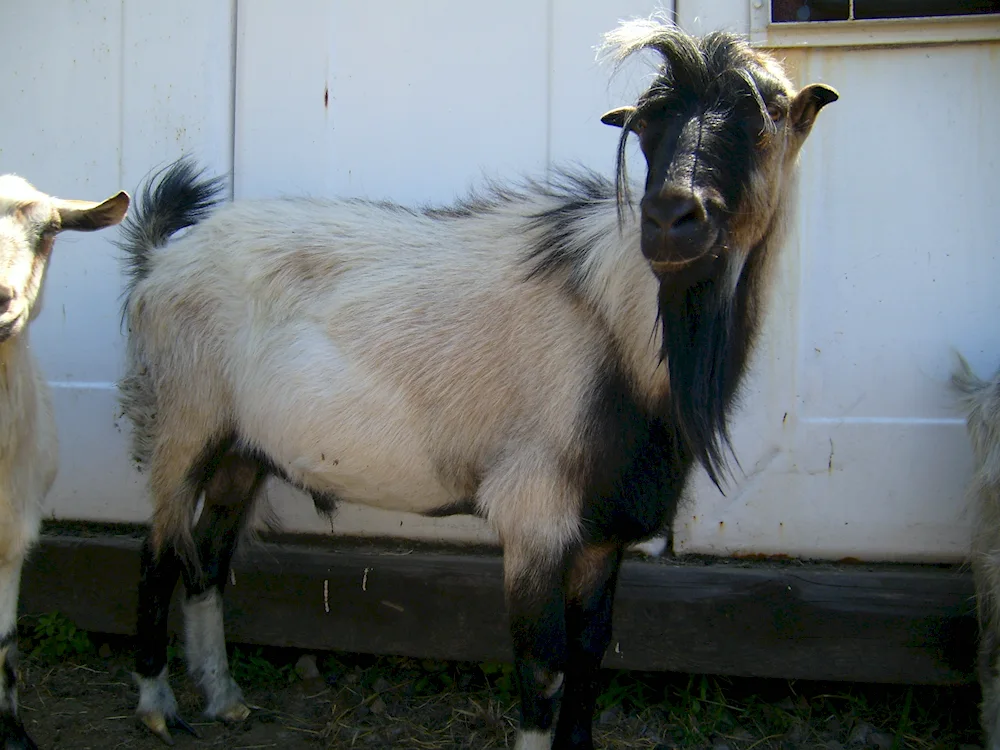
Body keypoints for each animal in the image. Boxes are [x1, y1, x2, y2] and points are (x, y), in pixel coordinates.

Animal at [115, 19, 836, 750]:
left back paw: (223, 697)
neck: (620, 324)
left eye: (769, 116)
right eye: (645, 125)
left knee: (206, 562)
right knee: (157, 554)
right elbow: (544, 669)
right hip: (184, 424)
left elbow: (591, 652)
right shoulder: (534, 513)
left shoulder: (602, 530)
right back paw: (157, 704)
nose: (669, 218)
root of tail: (162, 260)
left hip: (242, 450)